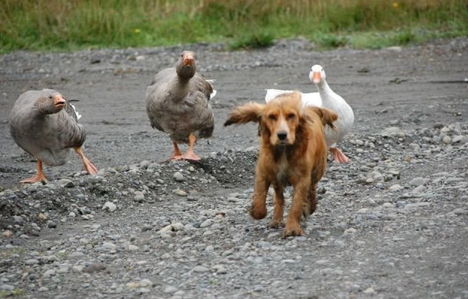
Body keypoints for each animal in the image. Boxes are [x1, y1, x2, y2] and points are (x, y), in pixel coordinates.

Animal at [224, 92, 336, 238]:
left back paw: (309, 206)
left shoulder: (302, 179)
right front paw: (255, 210)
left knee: (312, 188)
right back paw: (276, 219)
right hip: (277, 180)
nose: (282, 135)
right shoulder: (264, 172)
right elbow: (260, 200)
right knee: (279, 198)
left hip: (317, 170)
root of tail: (312, 110)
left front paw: (292, 227)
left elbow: (296, 204)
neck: (283, 151)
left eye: (291, 116)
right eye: (272, 116)